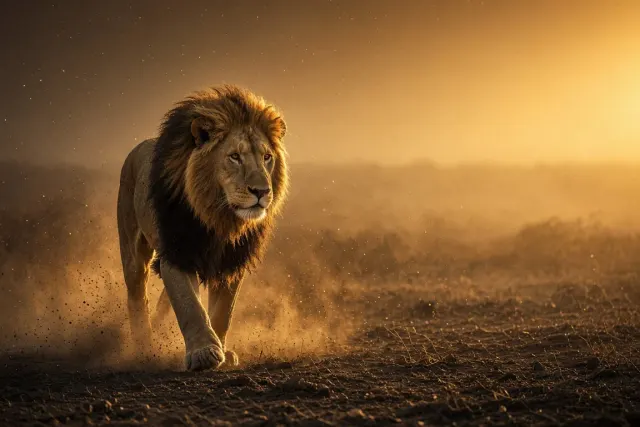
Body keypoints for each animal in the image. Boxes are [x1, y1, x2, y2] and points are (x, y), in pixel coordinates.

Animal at [117, 84, 288, 371]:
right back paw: (144, 347)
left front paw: (223, 352)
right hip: (132, 249)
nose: (262, 191)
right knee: (137, 294)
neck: (219, 217)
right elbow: (190, 305)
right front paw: (204, 353)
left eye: (267, 157)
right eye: (234, 157)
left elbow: (222, 312)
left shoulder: (231, 262)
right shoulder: (177, 253)